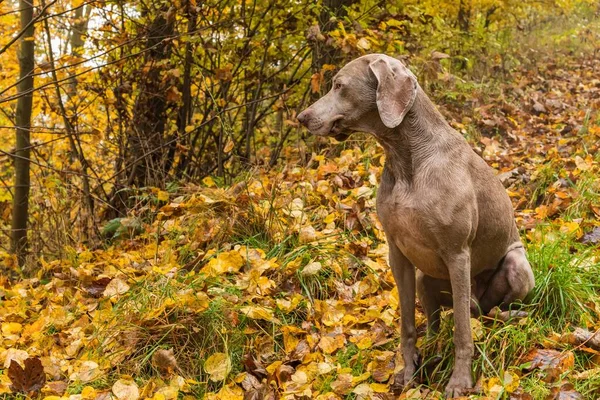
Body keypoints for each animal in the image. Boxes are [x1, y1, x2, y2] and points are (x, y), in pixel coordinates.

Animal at [296, 54, 536, 396]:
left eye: (339, 85)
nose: (301, 118)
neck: (406, 157)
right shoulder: (397, 251)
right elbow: (407, 324)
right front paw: (408, 372)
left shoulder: (457, 253)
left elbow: (462, 332)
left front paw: (459, 381)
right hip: (425, 277)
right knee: (442, 320)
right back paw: (433, 347)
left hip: (516, 264)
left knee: (485, 313)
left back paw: (507, 316)